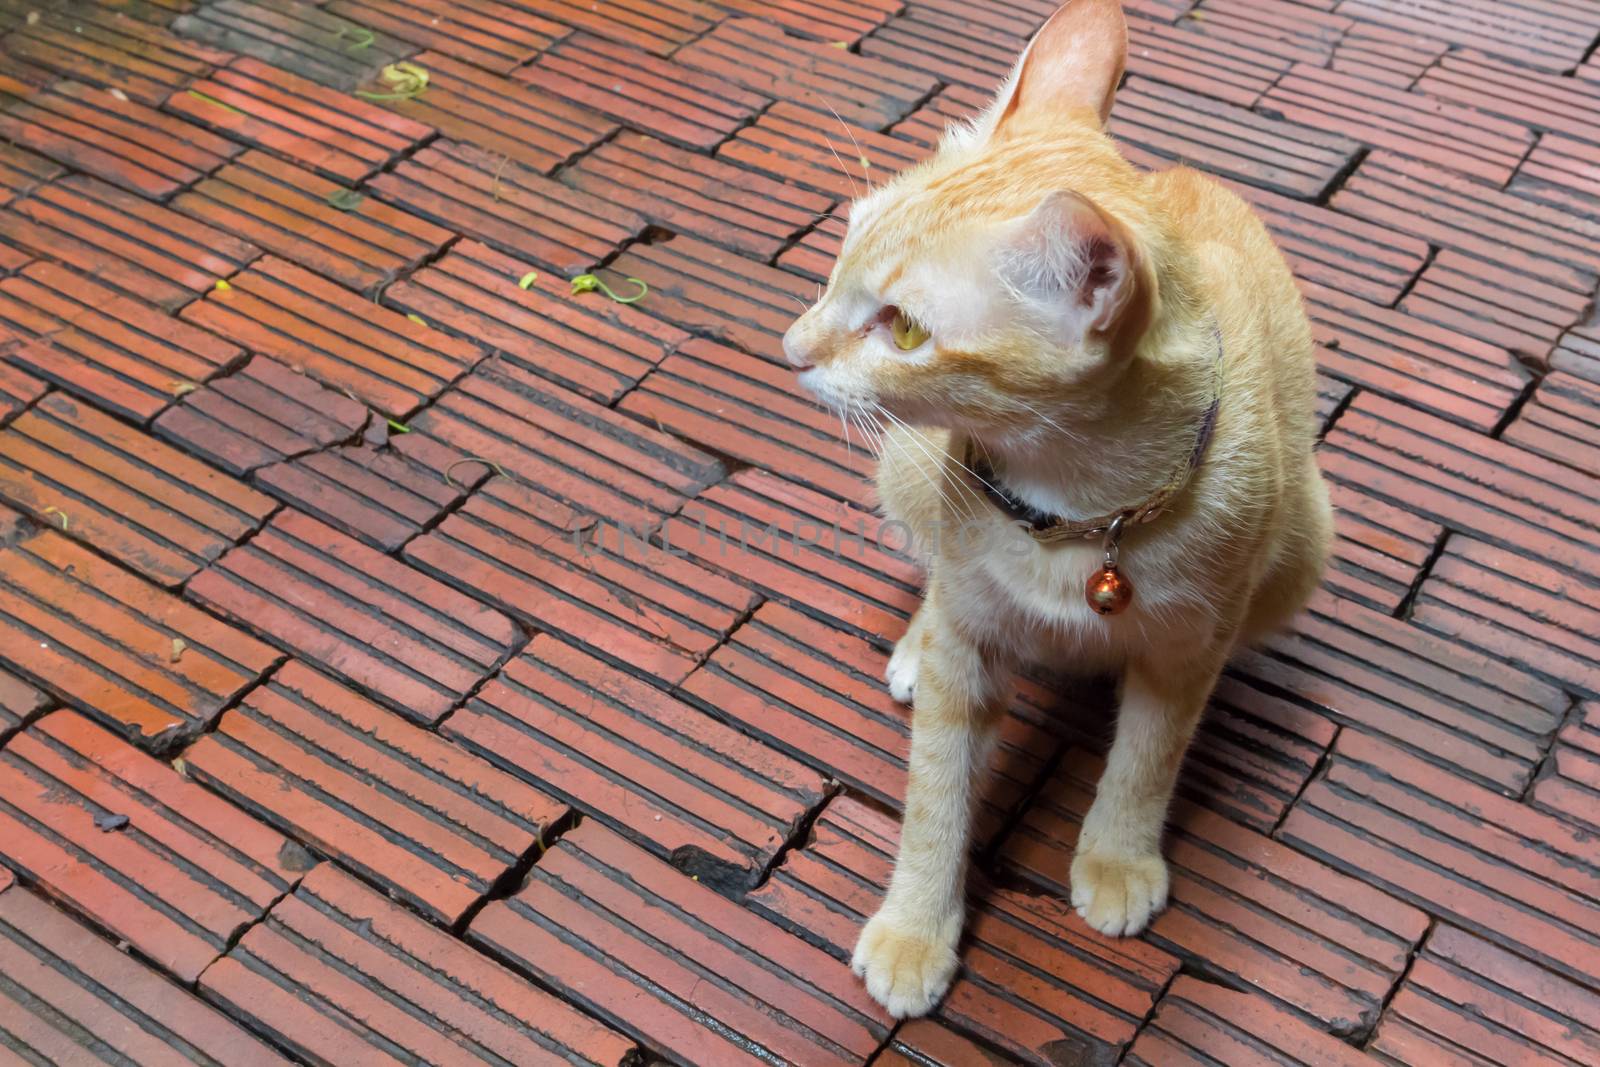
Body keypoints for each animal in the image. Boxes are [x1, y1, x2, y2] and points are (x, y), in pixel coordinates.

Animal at [780, 0, 1331, 1023]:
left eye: (905, 329)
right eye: (840, 255)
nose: (791, 347)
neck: (1076, 513)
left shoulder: (1191, 645)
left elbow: (1148, 756)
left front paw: (1117, 854)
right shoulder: (968, 646)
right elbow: (934, 792)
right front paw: (916, 925)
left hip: (1307, 541)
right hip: (906, 466)